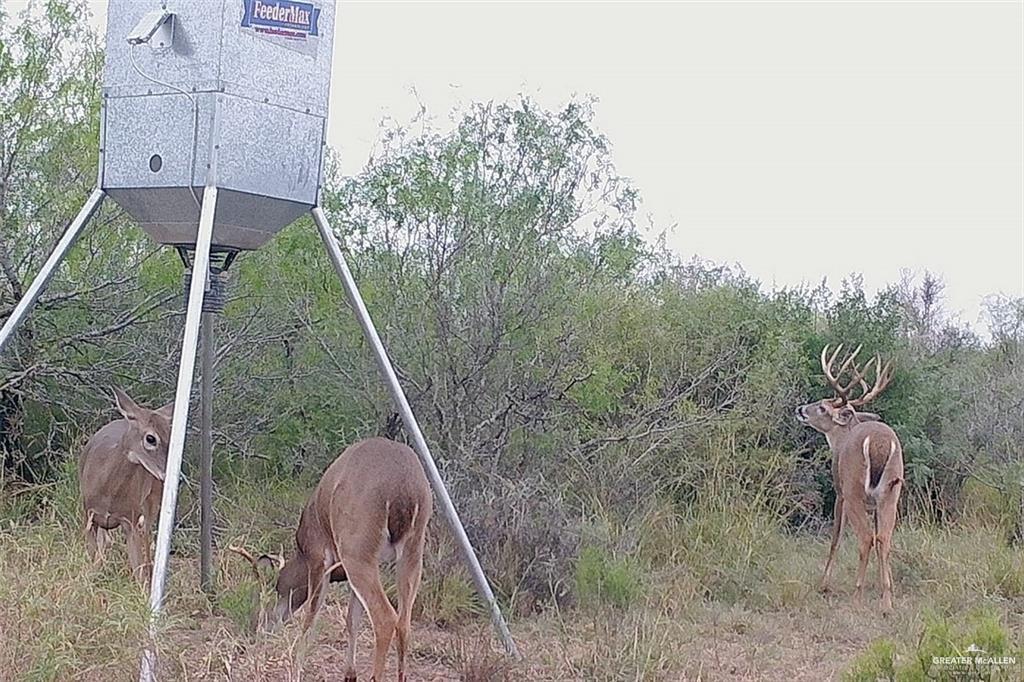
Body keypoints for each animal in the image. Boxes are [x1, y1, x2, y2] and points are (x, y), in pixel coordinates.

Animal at [79, 385, 174, 585]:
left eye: (171, 436)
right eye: (151, 438)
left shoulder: (130, 518)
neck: (108, 491)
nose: (167, 472)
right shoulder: (89, 514)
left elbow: (138, 569)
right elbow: (93, 553)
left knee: (147, 537)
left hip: (152, 501)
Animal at [232, 436, 432, 679]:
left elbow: (311, 616)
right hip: (413, 550)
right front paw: (350, 674)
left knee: (385, 618)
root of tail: (404, 489)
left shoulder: (319, 556)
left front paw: (296, 670)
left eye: (262, 597)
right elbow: (352, 619)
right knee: (404, 622)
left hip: (356, 549)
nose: (253, 630)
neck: (302, 552)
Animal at [794, 346, 901, 610]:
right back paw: (886, 604)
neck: (840, 441)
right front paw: (886, 585)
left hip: (854, 489)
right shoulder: (874, 504)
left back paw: (857, 596)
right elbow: (881, 540)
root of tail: (880, 442)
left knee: (865, 538)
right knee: (883, 538)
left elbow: (835, 537)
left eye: (822, 407)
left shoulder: (840, 493)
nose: (800, 409)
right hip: (891, 492)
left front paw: (823, 584)